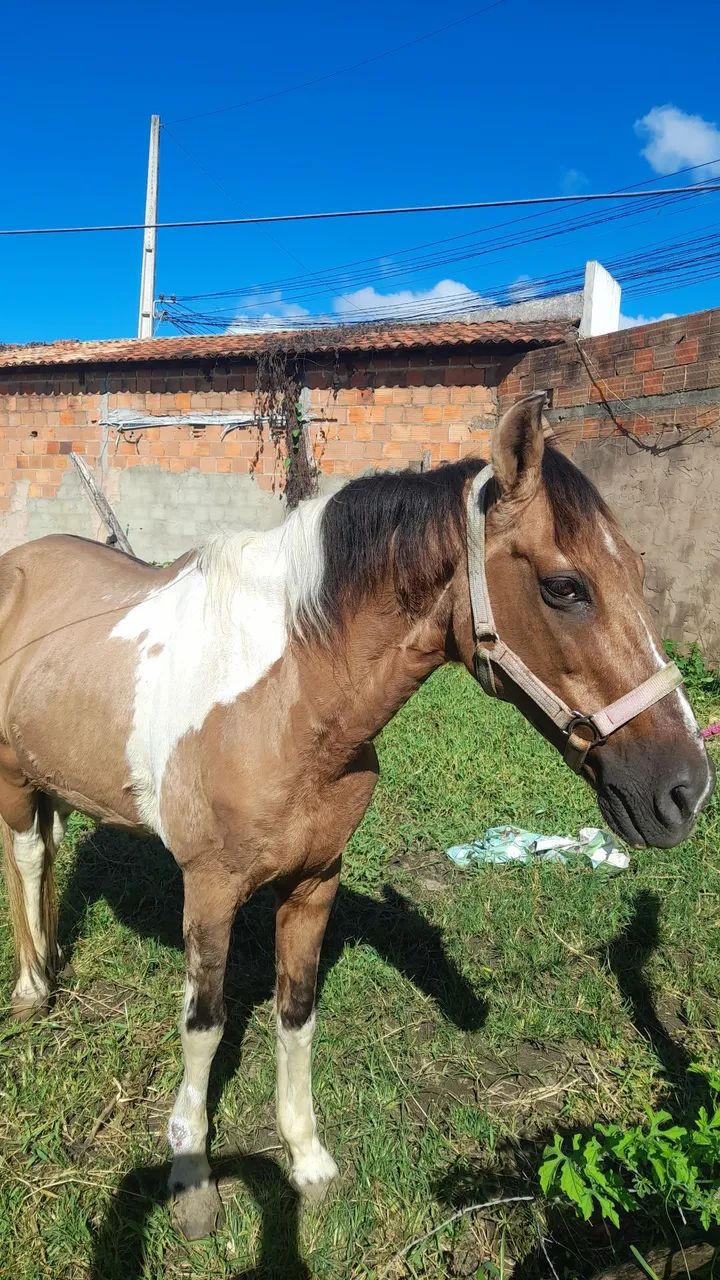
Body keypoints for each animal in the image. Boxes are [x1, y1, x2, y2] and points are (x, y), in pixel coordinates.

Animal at [0, 391, 713, 1239]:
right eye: (566, 586)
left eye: (635, 570)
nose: (684, 789)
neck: (288, 698)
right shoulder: (209, 889)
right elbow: (203, 1025)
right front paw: (191, 1174)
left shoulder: (315, 882)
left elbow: (297, 1012)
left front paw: (306, 1157)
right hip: (12, 780)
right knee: (27, 859)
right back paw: (33, 988)